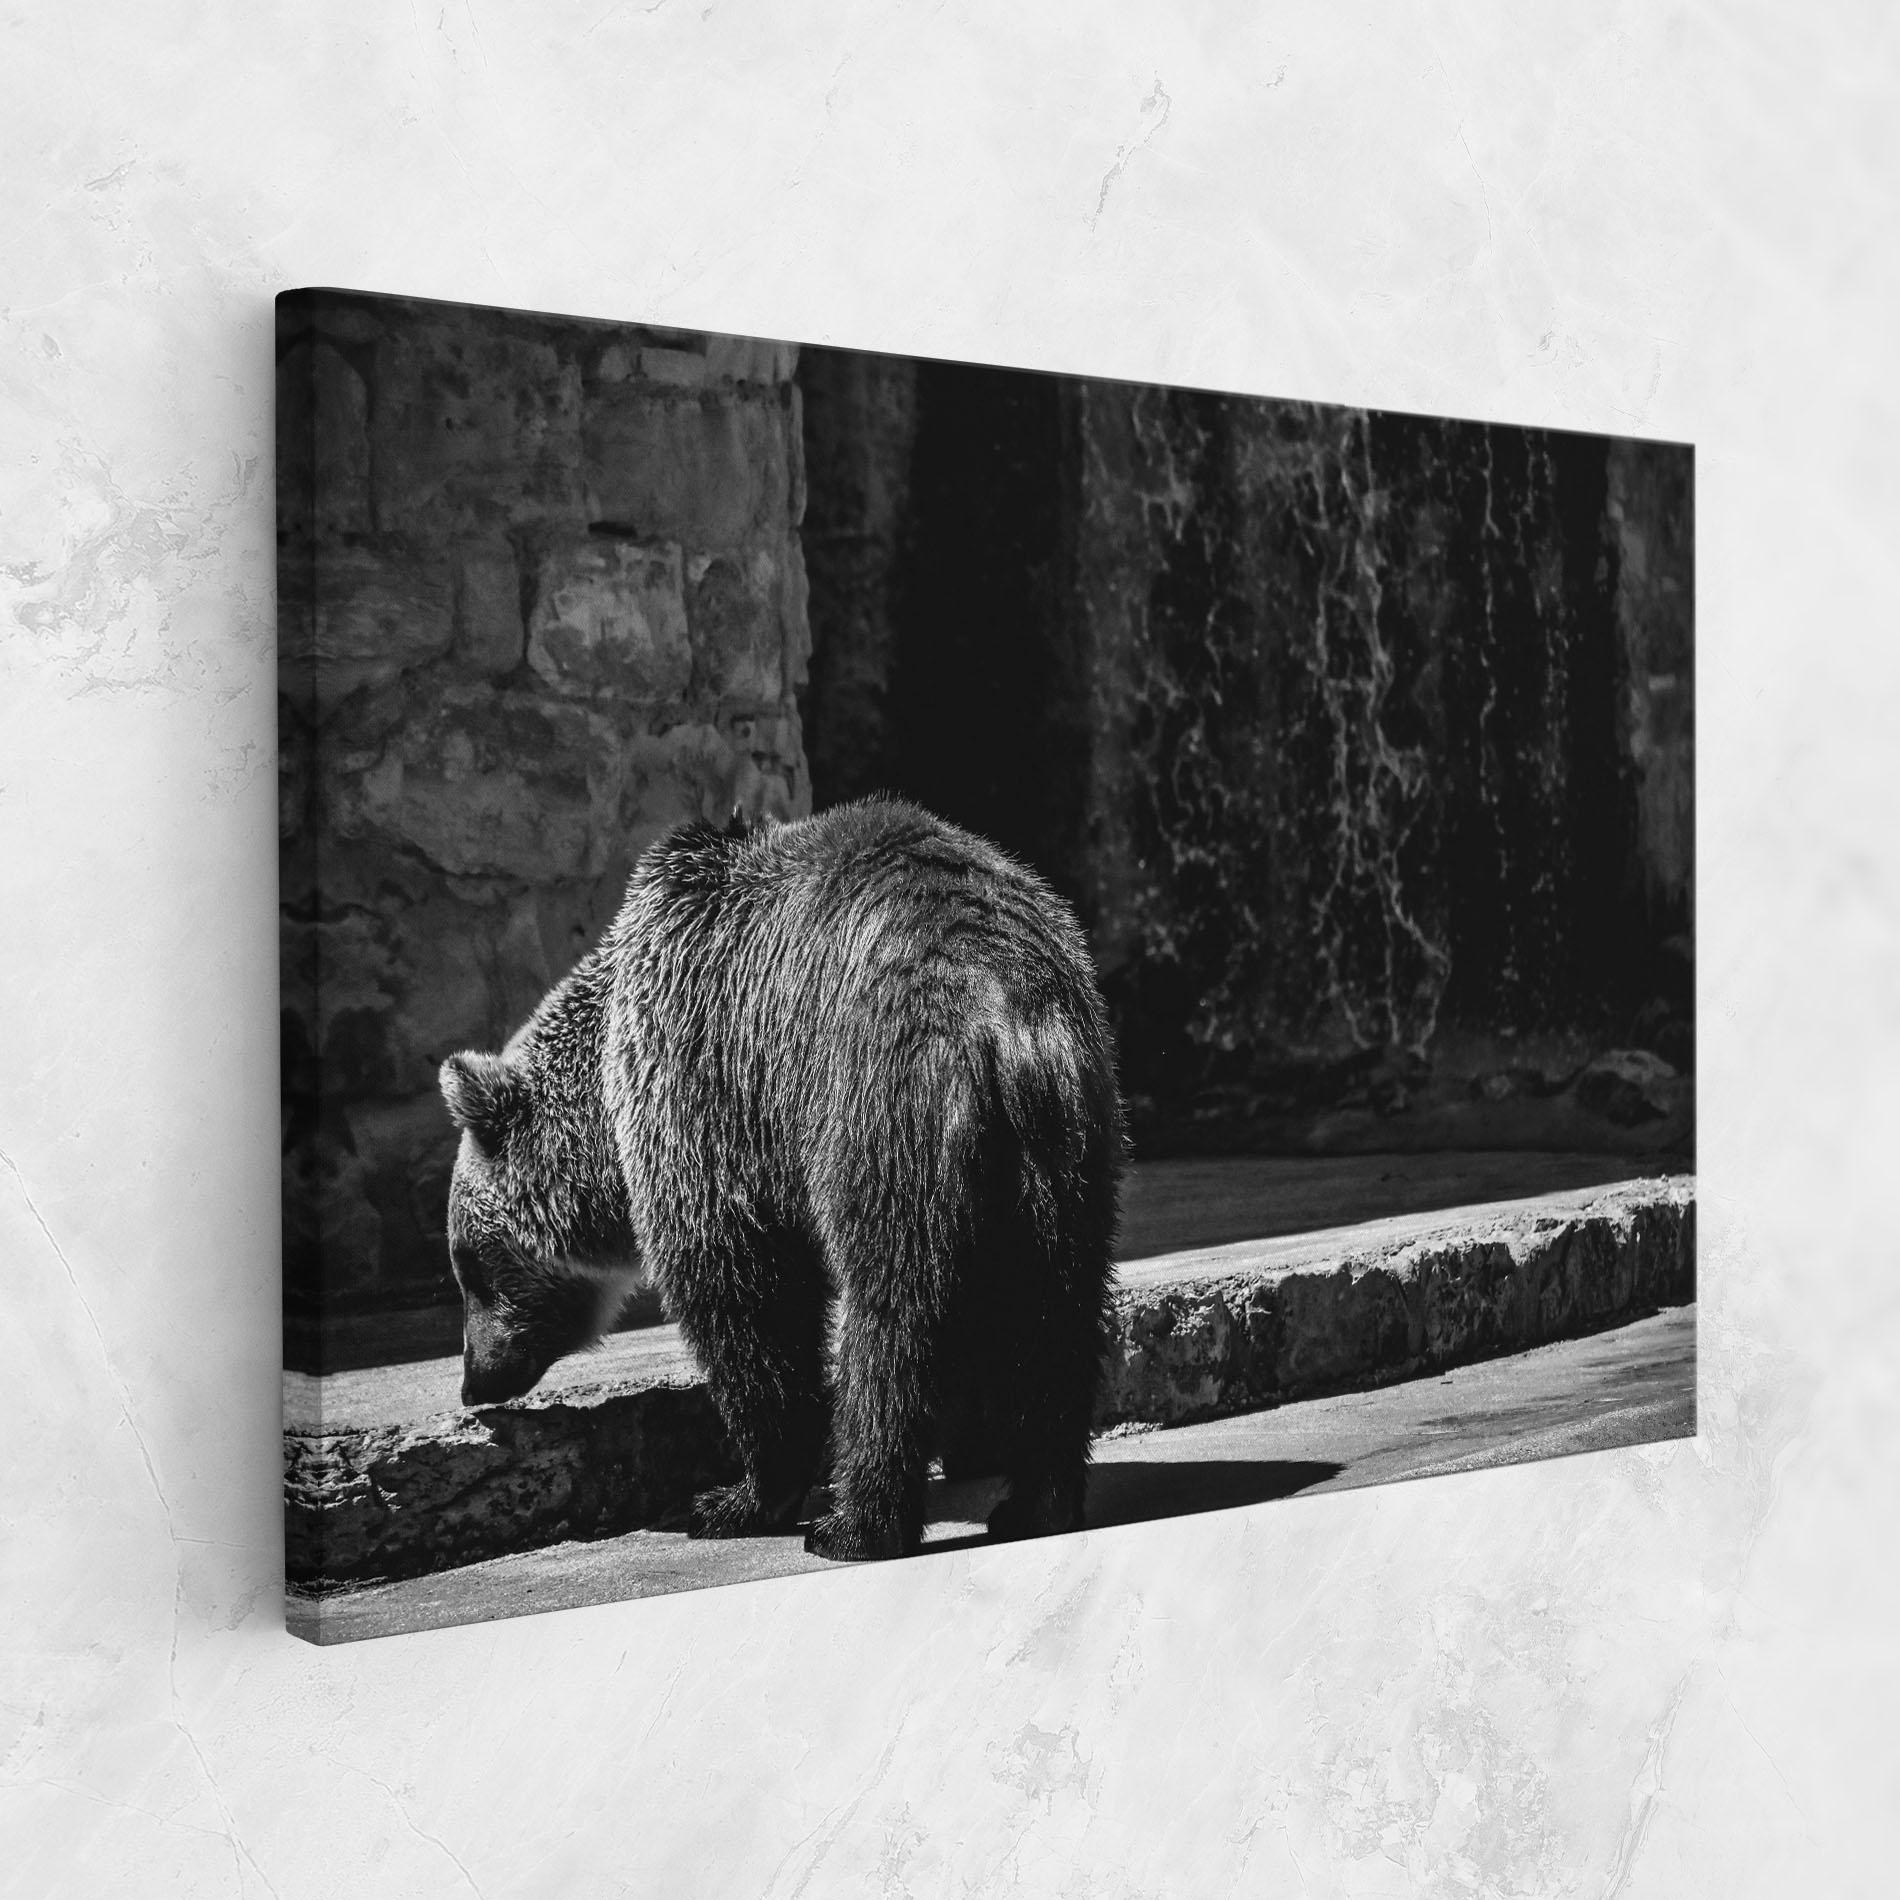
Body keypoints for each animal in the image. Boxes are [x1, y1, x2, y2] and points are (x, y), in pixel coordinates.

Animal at [437, 797, 1124, 1560]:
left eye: (469, 1265)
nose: (473, 1380)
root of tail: (1004, 1010)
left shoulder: (708, 1083)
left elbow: (745, 1296)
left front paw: (733, 1498)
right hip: (1068, 1141)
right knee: (1057, 1306)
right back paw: (1038, 1502)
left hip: (881, 1105)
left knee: (894, 1316)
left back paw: (855, 1525)